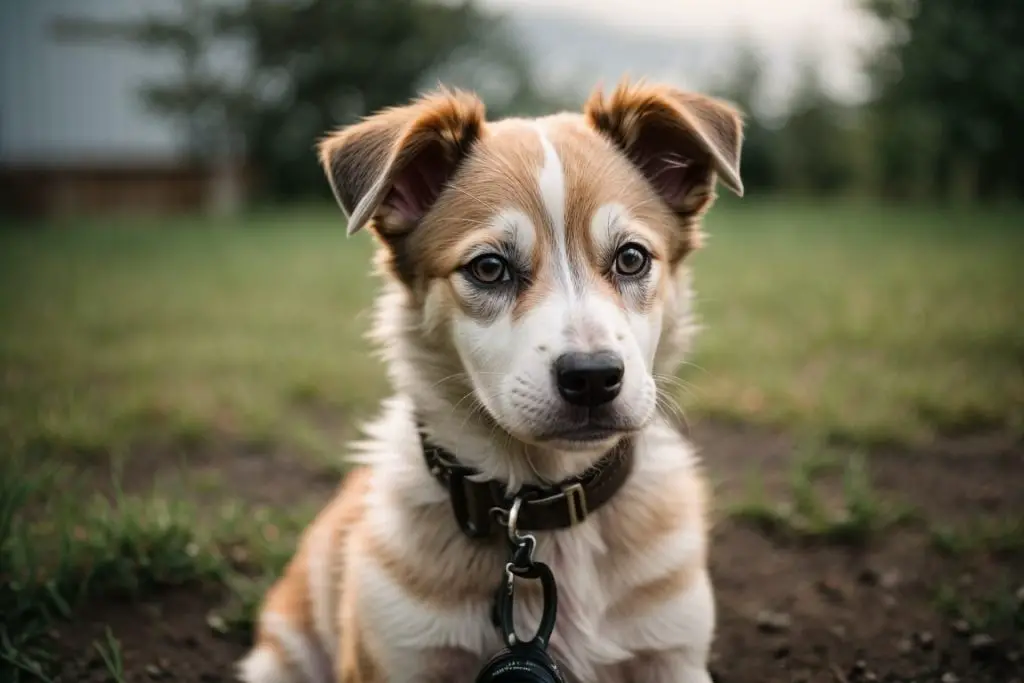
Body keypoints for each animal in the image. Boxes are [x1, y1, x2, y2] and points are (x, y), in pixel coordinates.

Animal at [237, 81, 745, 683]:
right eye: (488, 268)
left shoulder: (672, 652)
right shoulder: (397, 658)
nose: (593, 378)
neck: (542, 510)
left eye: (631, 258)